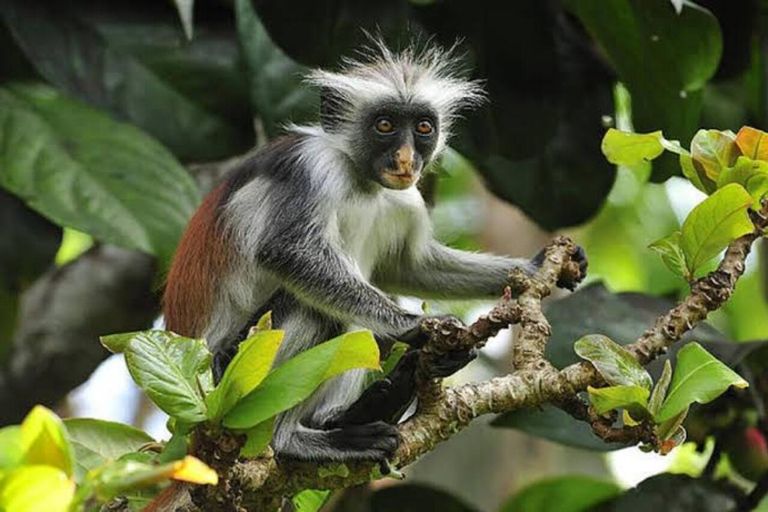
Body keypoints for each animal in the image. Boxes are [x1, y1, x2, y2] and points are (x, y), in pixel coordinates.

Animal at [162, 41, 587, 462]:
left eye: (423, 128)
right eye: (384, 125)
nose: (406, 158)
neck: (362, 179)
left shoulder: (406, 198)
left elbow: (410, 268)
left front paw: (536, 267)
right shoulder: (311, 168)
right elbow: (286, 251)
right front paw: (414, 326)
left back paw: (361, 409)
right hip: (231, 372)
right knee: (317, 311)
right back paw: (293, 441)